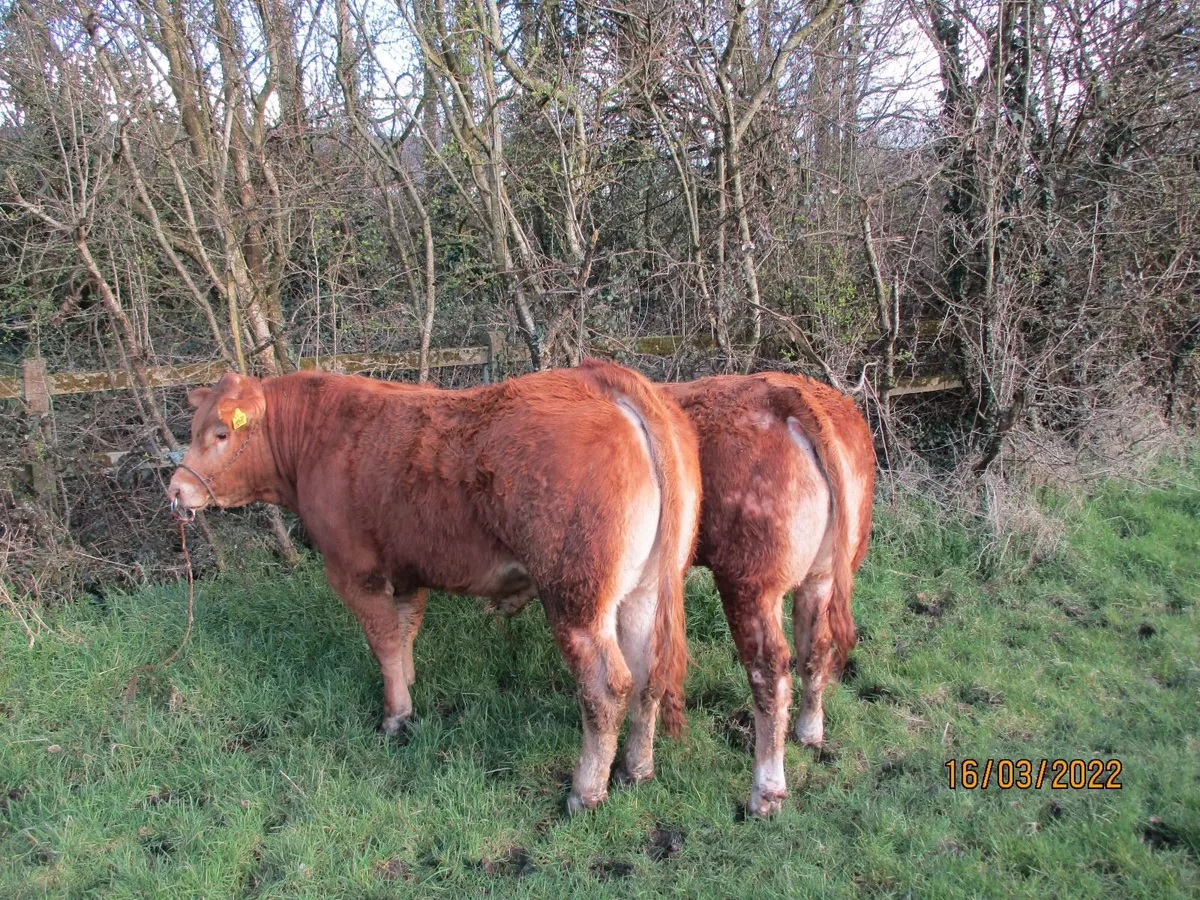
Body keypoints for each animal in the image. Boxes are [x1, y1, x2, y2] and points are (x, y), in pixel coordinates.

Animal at [166, 360, 701, 815]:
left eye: (220, 433)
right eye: (194, 429)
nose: (175, 489)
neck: (319, 439)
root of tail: (598, 377)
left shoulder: (354, 571)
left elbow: (383, 641)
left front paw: (395, 716)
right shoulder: (407, 572)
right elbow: (404, 634)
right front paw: (408, 685)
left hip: (576, 597)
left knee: (606, 687)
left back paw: (586, 791)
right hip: (644, 590)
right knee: (649, 674)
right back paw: (636, 769)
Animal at [663, 373, 875, 817]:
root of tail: (787, 391)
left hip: (749, 583)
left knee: (770, 673)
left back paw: (766, 792)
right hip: (822, 575)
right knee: (815, 649)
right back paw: (809, 733)